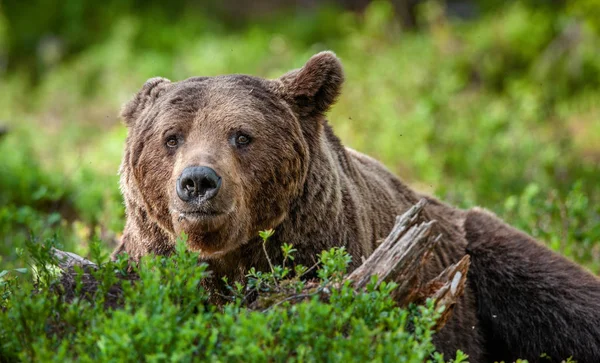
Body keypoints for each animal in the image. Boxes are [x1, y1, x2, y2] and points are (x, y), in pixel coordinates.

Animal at [113, 52, 600, 363]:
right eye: (171, 137)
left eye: (242, 136)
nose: (198, 182)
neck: (233, 253)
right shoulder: (149, 261)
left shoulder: (324, 254)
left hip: (481, 255)